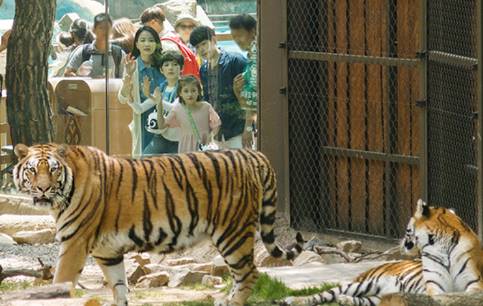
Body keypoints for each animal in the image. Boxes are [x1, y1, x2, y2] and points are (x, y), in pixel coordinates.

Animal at [13, 144, 304, 306]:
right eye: (32, 170)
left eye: (52, 170)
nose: (43, 189)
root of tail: (252, 153)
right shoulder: (108, 253)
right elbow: (120, 288)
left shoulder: (74, 244)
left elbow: (60, 283)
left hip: (233, 232)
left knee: (249, 274)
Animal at [284, 200, 483, 304]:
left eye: (407, 228)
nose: (401, 242)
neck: (441, 247)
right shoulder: (435, 285)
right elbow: (441, 296)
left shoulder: (475, 284)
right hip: (362, 284)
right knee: (322, 295)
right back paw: (293, 300)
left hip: (377, 296)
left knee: (363, 301)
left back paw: (345, 300)